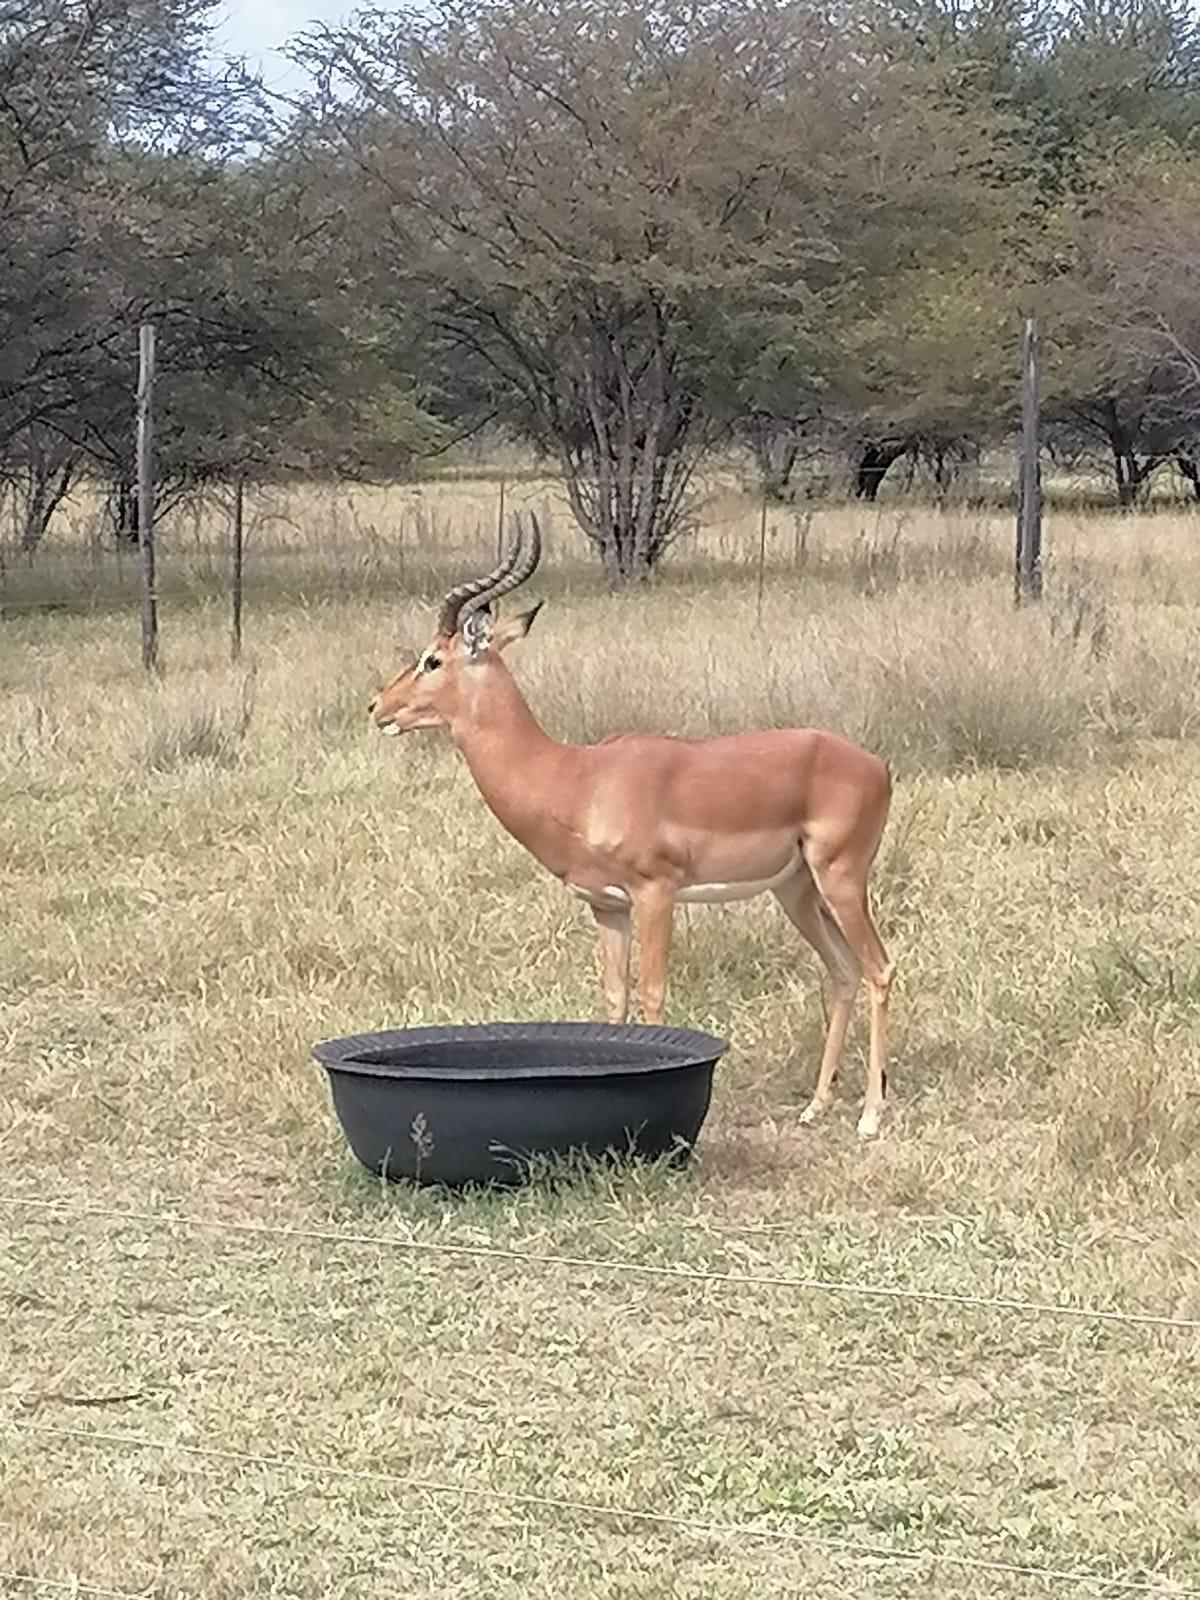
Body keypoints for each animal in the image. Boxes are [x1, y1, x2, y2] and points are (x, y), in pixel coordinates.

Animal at [370, 515, 896, 1136]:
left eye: (433, 659)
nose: (378, 707)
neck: (577, 779)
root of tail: (875, 766)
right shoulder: (608, 906)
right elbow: (615, 999)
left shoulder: (656, 893)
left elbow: (651, 994)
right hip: (797, 890)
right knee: (843, 972)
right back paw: (816, 1105)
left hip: (841, 880)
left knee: (880, 969)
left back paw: (870, 1117)